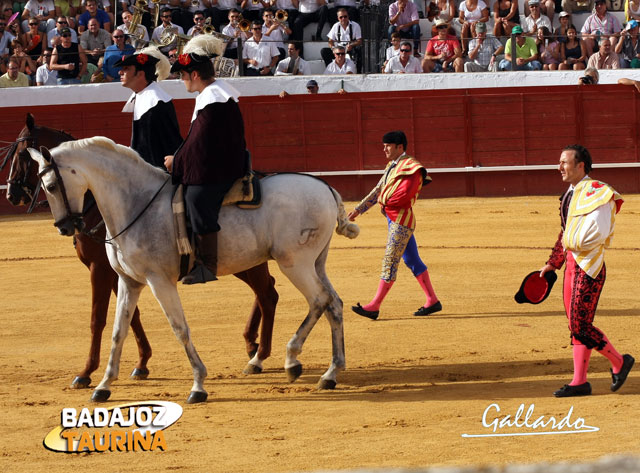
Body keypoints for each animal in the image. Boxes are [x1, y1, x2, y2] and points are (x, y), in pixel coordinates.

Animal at [3, 113, 278, 388]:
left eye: (22, 154)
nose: (11, 194)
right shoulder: (122, 273)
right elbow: (129, 316)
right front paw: (141, 362)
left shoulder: (100, 269)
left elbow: (98, 318)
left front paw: (86, 372)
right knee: (267, 290)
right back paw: (252, 344)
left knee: (267, 294)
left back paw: (258, 355)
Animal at [28, 136, 360, 402]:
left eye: (51, 185)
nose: (65, 227)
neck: (136, 203)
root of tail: (325, 188)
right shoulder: (128, 281)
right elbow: (118, 330)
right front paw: (104, 385)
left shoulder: (158, 281)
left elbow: (179, 328)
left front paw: (198, 384)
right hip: (315, 262)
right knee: (334, 303)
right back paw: (330, 372)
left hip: (295, 262)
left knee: (317, 300)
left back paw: (292, 360)